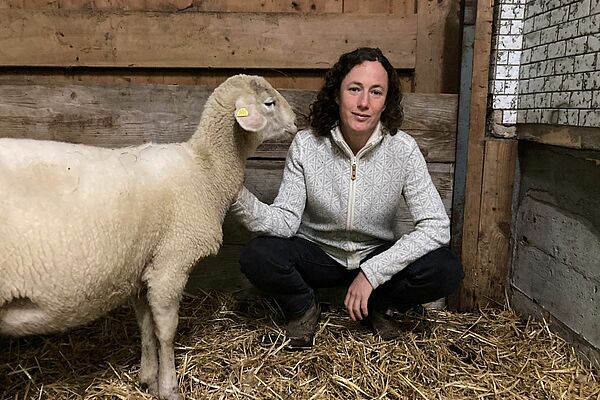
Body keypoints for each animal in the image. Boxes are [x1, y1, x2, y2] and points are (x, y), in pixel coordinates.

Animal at [0, 75, 298, 400]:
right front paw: (169, 388)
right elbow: (166, 329)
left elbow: (145, 325)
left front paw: (148, 378)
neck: (204, 169)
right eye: (269, 103)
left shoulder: (141, 266)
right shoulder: (170, 263)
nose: (297, 122)